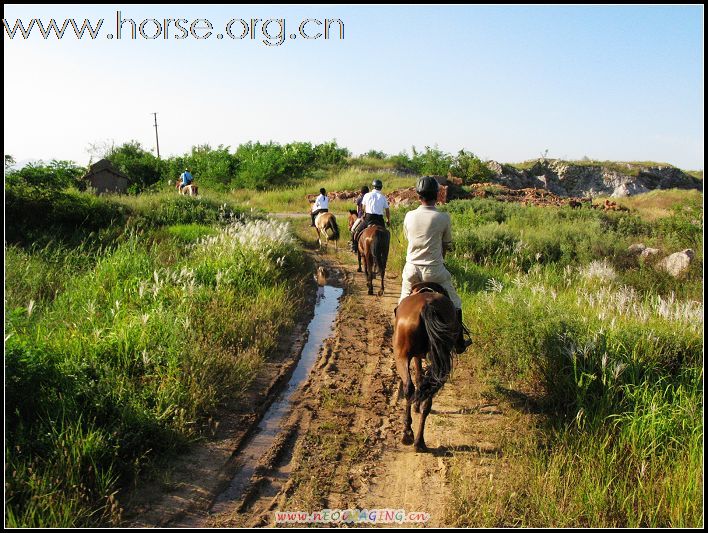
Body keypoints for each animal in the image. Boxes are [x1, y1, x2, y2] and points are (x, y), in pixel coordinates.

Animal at [392, 280, 460, 450]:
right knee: (427, 392)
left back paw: (408, 434)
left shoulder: (416, 356)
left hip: (401, 356)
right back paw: (418, 440)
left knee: (409, 387)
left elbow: (418, 377)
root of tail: (427, 307)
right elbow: (421, 378)